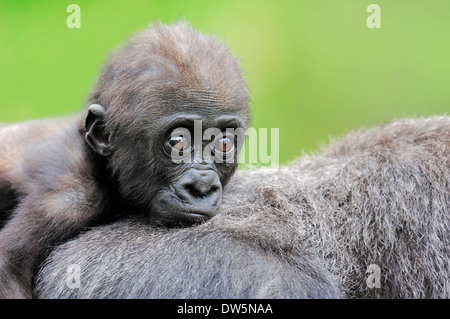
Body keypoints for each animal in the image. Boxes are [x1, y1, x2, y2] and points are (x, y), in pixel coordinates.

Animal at [0, 23, 250, 300]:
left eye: (224, 143)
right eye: (178, 141)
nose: (202, 187)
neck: (99, 163)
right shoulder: (71, 197)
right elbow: (7, 267)